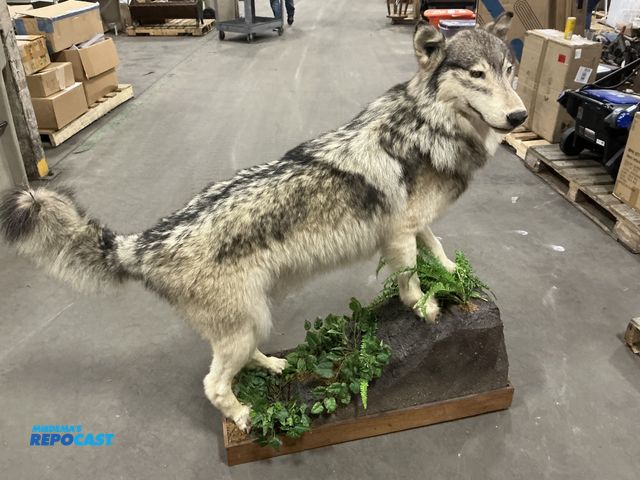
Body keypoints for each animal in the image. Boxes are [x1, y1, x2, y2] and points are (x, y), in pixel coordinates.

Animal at [0, 14, 525, 432]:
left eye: (509, 70)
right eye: (476, 74)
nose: (520, 115)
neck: (428, 127)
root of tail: (141, 243)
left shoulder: (416, 223)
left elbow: (436, 247)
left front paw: (455, 275)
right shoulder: (397, 234)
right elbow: (411, 280)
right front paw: (428, 308)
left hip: (253, 317)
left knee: (242, 357)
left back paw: (275, 367)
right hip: (247, 320)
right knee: (212, 384)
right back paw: (247, 416)